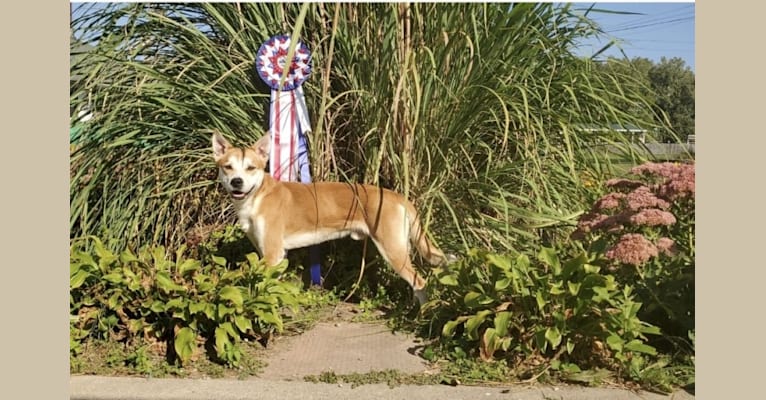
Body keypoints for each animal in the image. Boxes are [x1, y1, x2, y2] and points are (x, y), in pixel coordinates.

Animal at [212, 131, 450, 304]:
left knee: (420, 282)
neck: (258, 196)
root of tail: (397, 196)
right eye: (228, 167)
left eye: (251, 167)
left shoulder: (272, 254)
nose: (237, 182)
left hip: (393, 250)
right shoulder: (273, 254)